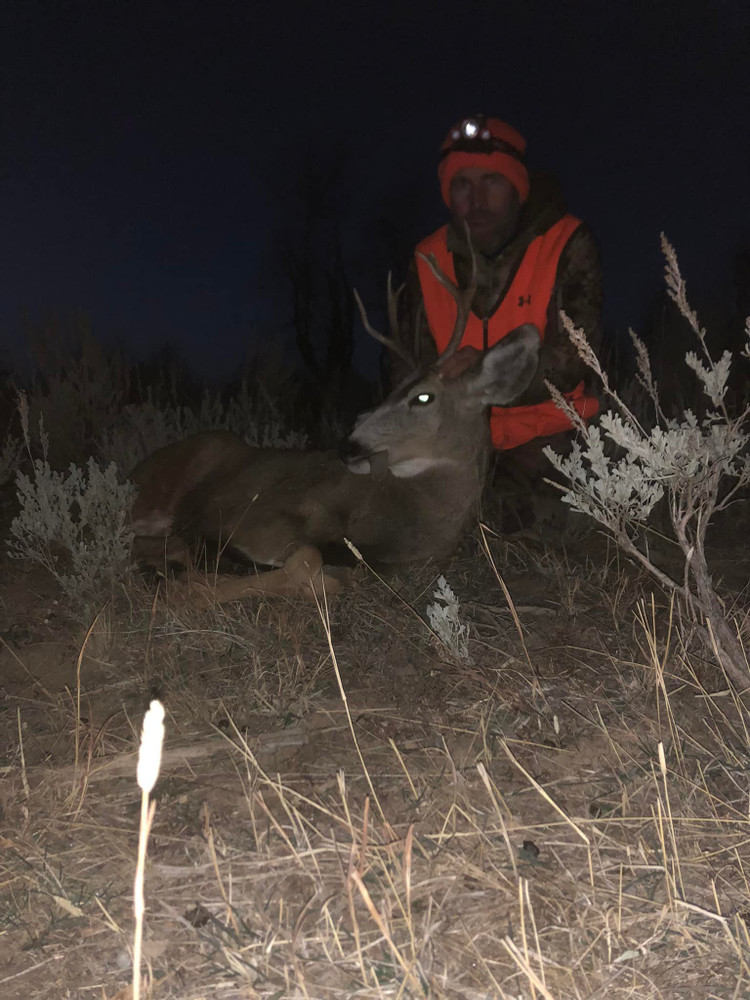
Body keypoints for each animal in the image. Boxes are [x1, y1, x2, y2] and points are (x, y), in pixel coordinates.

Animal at [128, 256, 540, 600]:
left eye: (422, 397)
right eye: (390, 389)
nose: (348, 446)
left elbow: (334, 575)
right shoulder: (251, 511)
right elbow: (308, 558)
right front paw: (193, 588)